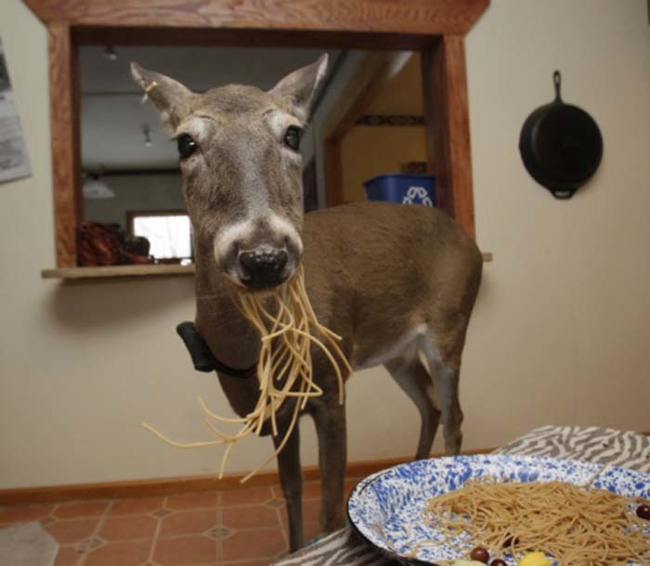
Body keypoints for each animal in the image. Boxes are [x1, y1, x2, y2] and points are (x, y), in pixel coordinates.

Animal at [130, 54, 480, 556]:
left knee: (454, 416)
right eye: (185, 141)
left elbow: (330, 509)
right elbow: (291, 489)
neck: (249, 353)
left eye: (293, 133)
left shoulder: (331, 386)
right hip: (396, 354)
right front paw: (294, 548)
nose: (262, 256)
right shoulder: (279, 411)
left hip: (450, 327)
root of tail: (470, 243)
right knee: (430, 408)